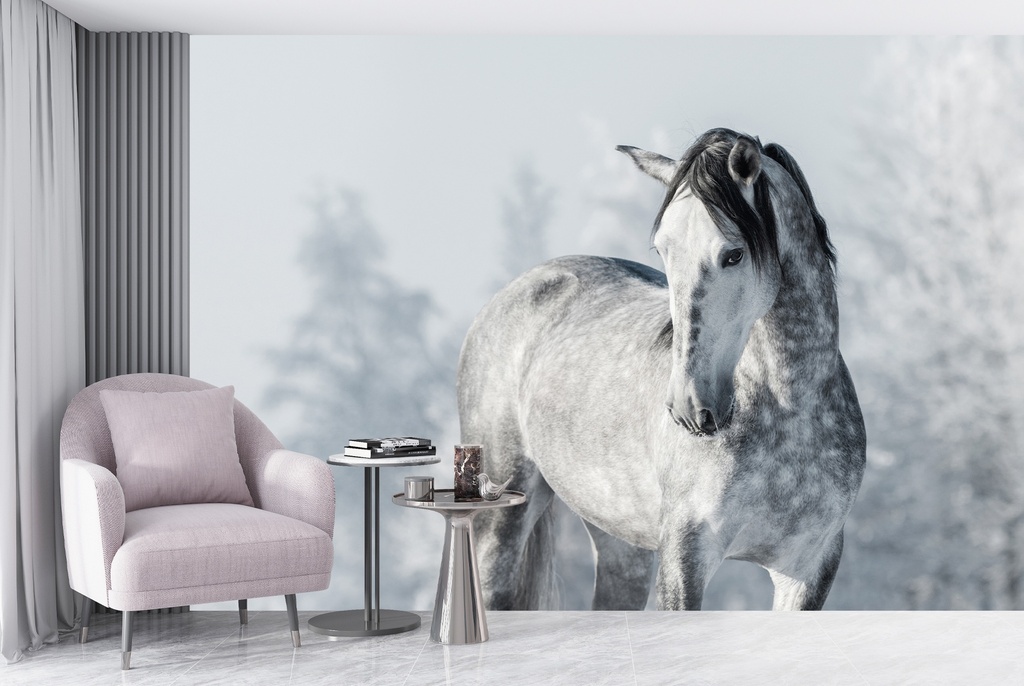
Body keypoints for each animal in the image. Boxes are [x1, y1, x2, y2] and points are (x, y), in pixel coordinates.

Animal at [456, 128, 866, 611]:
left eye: (734, 254)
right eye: (663, 251)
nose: (691, 406)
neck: (789, 413)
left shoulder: (809, 568)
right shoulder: (685, 555)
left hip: (621, 545)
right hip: (501, 522)